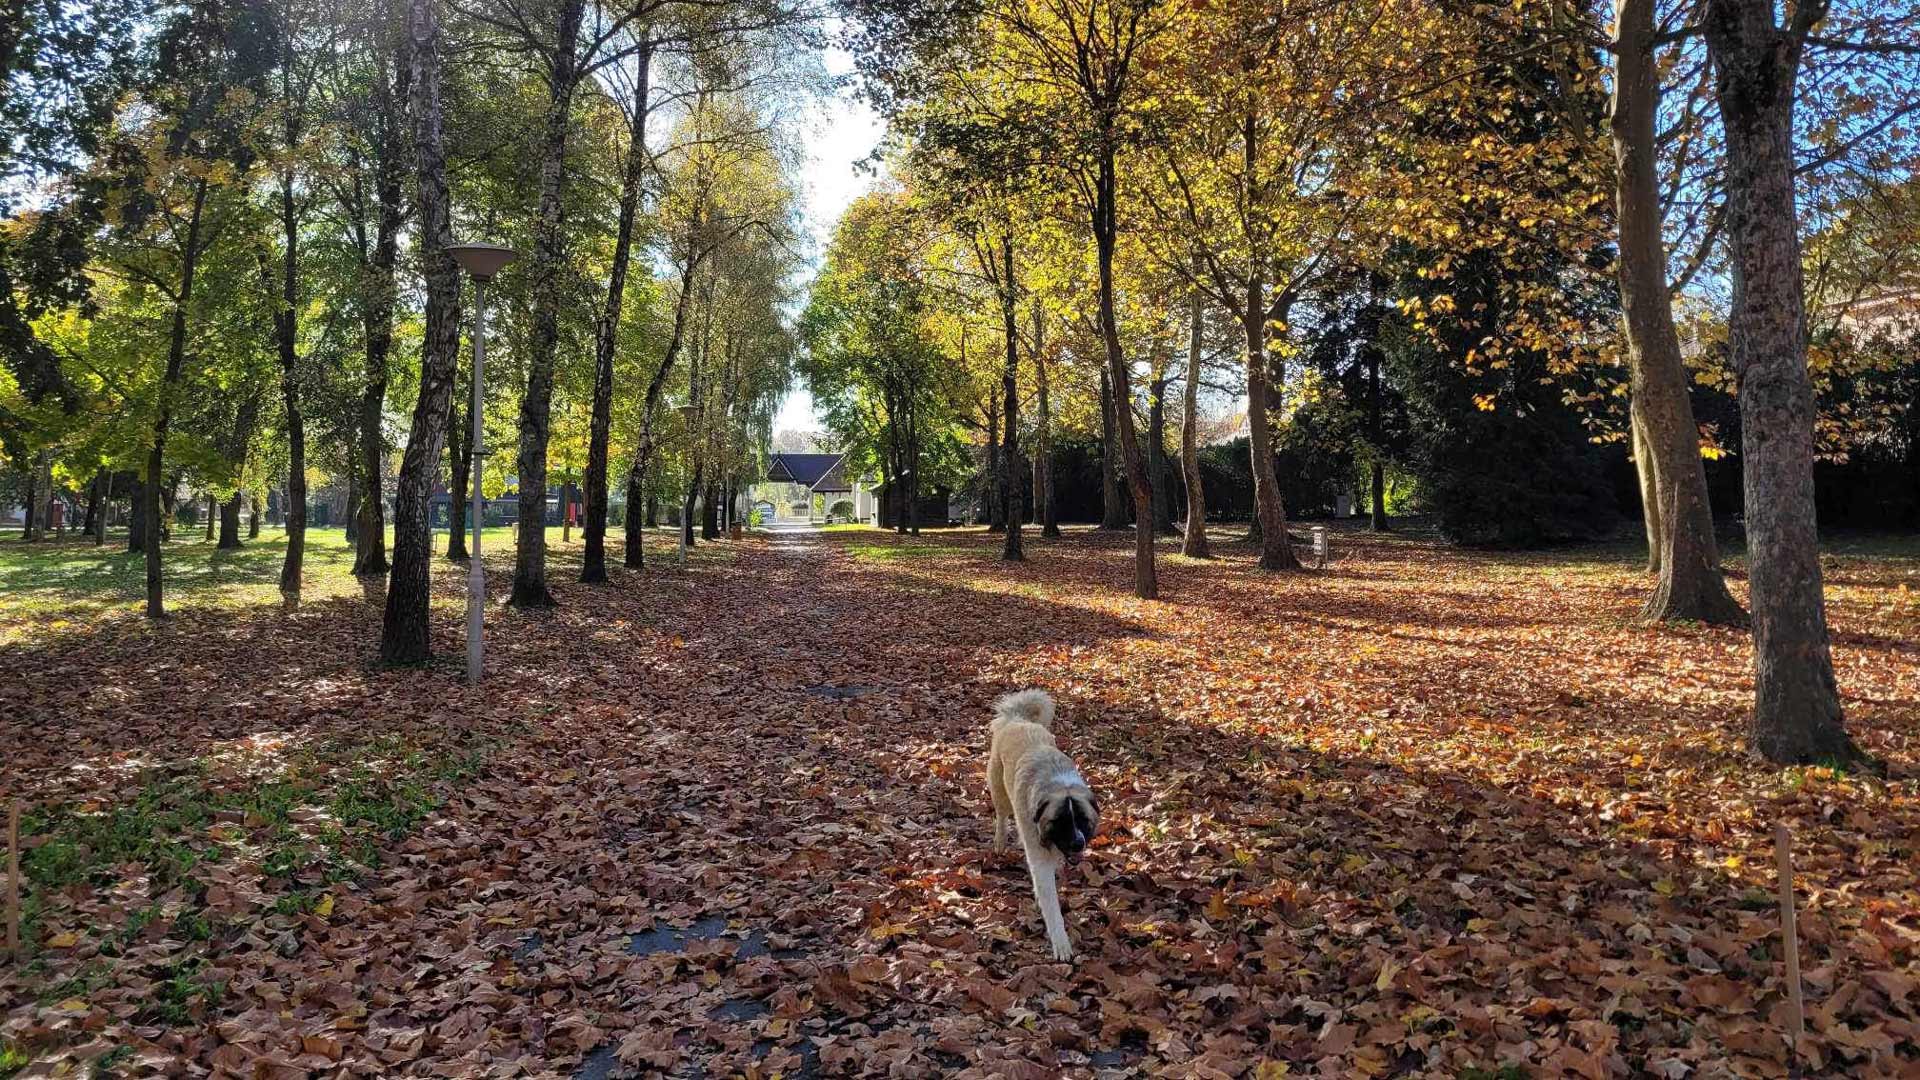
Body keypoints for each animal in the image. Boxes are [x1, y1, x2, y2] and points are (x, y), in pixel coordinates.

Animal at [990, 687, 1098, 957]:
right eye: (1060, 822)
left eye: (1083, 820)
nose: (1078, 844)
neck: (1058, 785)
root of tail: (1017, 718)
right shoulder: (1039, 858)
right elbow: (1051, 904)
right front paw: (1061, 943)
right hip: (999, 791)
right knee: (1001, 815)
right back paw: (1000, 841)